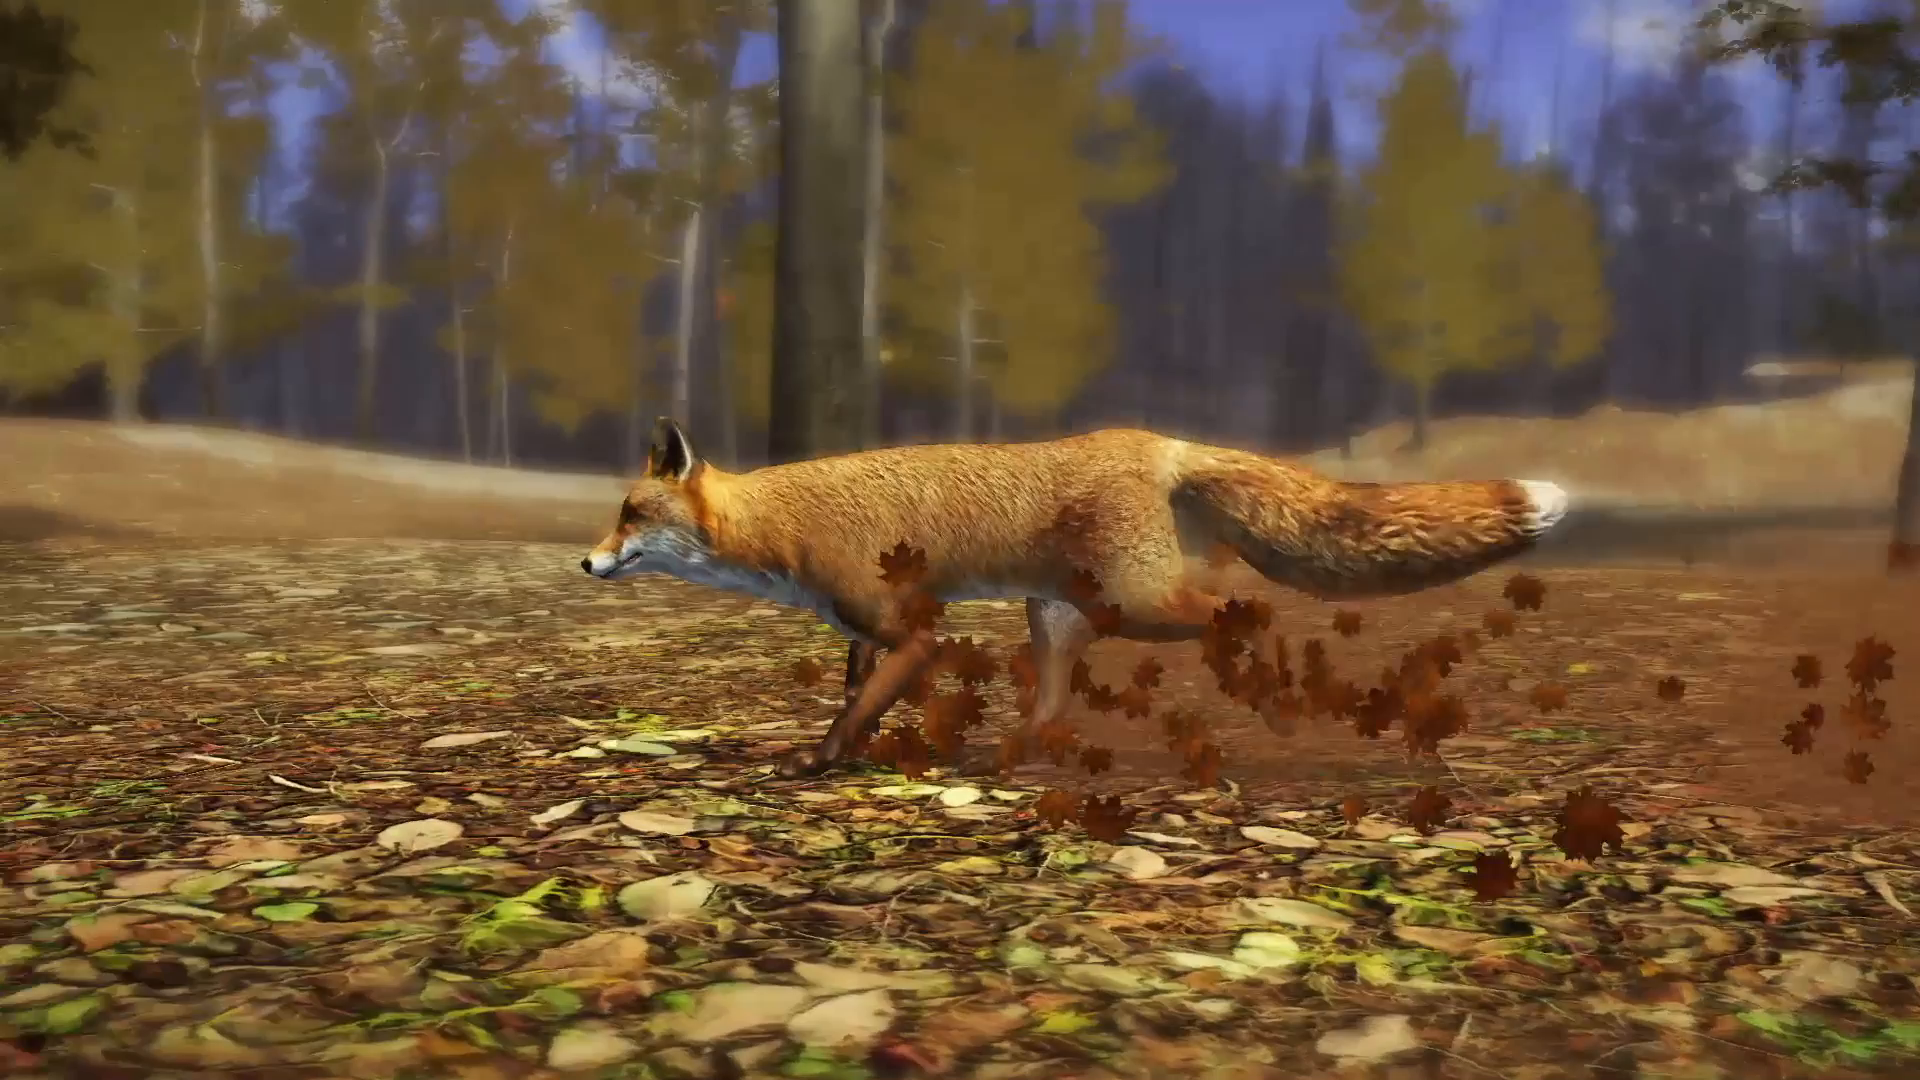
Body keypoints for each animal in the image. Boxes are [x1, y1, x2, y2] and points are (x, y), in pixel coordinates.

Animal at [582, 418, 1570, 779]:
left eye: (631, 514)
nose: (587, 564)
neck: (777, 525)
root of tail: (1156, 440)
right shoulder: (861, 629)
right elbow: (854, 691)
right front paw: (843, 750)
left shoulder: (912, 632)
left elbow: (857, 707)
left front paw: (820, 761)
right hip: (1060, 617)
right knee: (1054, 700)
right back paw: (1024, 751)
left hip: (1141, 605)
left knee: (1244, 613)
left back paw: (1276, 695)